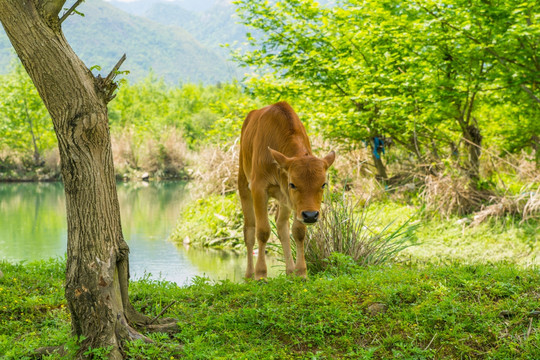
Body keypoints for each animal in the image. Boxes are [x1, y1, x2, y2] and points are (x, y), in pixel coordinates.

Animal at [239, 102, 336, 280]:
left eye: (323, 184)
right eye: (293, 184)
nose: (311, 215)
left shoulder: (296, 205)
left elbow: (298, 231)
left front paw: (301, 272)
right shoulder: (259, 188)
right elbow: (262, 231)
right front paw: (261, 274)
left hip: (284, 200)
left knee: (281, 225)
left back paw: (290, 271)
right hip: (243, 184)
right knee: (249, 229)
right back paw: (249, 275)